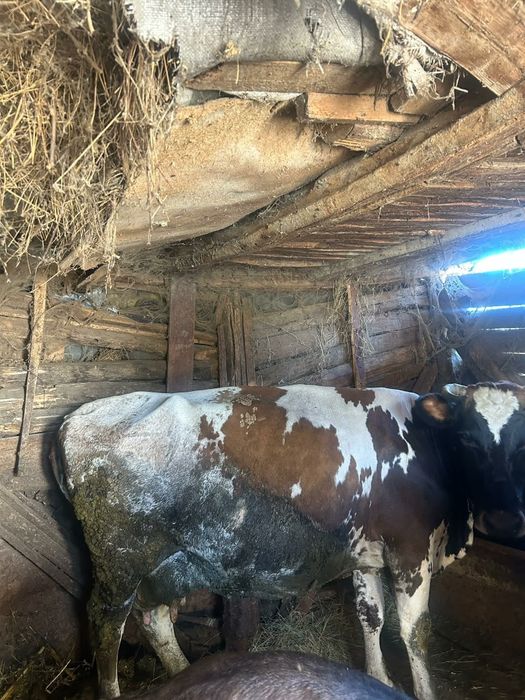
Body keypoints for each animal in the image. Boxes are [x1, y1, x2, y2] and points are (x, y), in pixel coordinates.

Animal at [52, 381, 525, 699]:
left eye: (523, 444)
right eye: (466, 438)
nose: (503, 519)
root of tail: (76, 417)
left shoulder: (367, 553)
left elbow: (370, 617)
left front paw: (379, 677)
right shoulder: (411, 552)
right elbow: (415, 631)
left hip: (164, 562)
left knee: (154, 618)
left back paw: (182, 672)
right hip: (119, 562)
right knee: (106, 624)